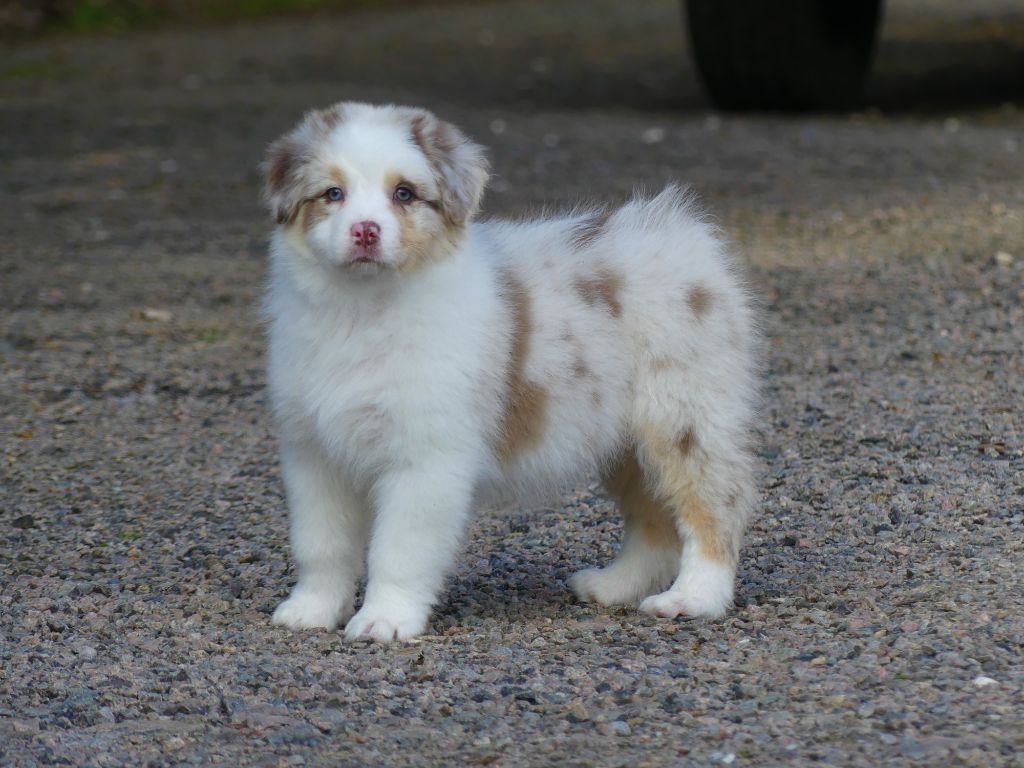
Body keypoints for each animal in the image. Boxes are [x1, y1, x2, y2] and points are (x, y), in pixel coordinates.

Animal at [264, 103, 761, 643]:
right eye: (333, 194)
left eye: (404, 194)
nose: (365, 230)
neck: (361, 309)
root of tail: (684, 238)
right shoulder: (313, 453)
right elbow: (321, 545)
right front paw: (311, 609)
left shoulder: (426, 458)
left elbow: (399, 550)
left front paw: (385, 619)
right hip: (624, 440)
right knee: (654, 520)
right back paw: (614, 586)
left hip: (683, 416)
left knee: (713, 505)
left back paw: (694, 598)